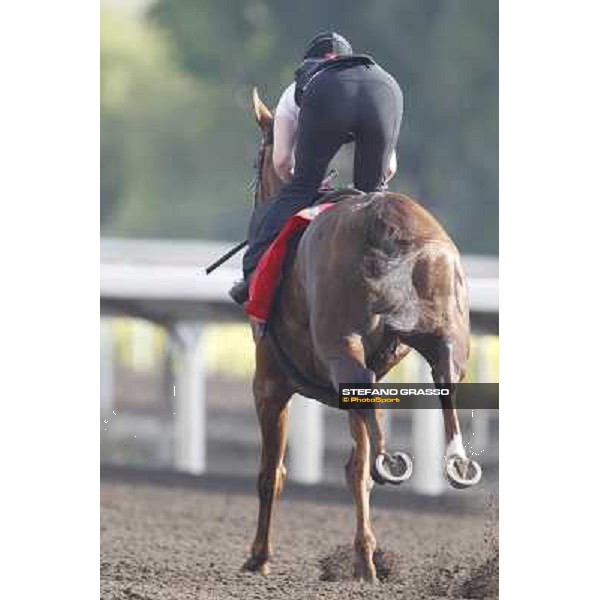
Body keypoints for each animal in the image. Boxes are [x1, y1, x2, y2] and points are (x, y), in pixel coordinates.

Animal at [241, 88, 480, 580]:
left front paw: (259, 557)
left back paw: (392, 461)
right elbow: (356, 462)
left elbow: (272, 473)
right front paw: (365, 558)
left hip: (340, 346)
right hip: (445, 335)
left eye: (258, 158)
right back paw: (452, 461)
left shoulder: (269, 380)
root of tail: (388, 224)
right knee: (443, 380)